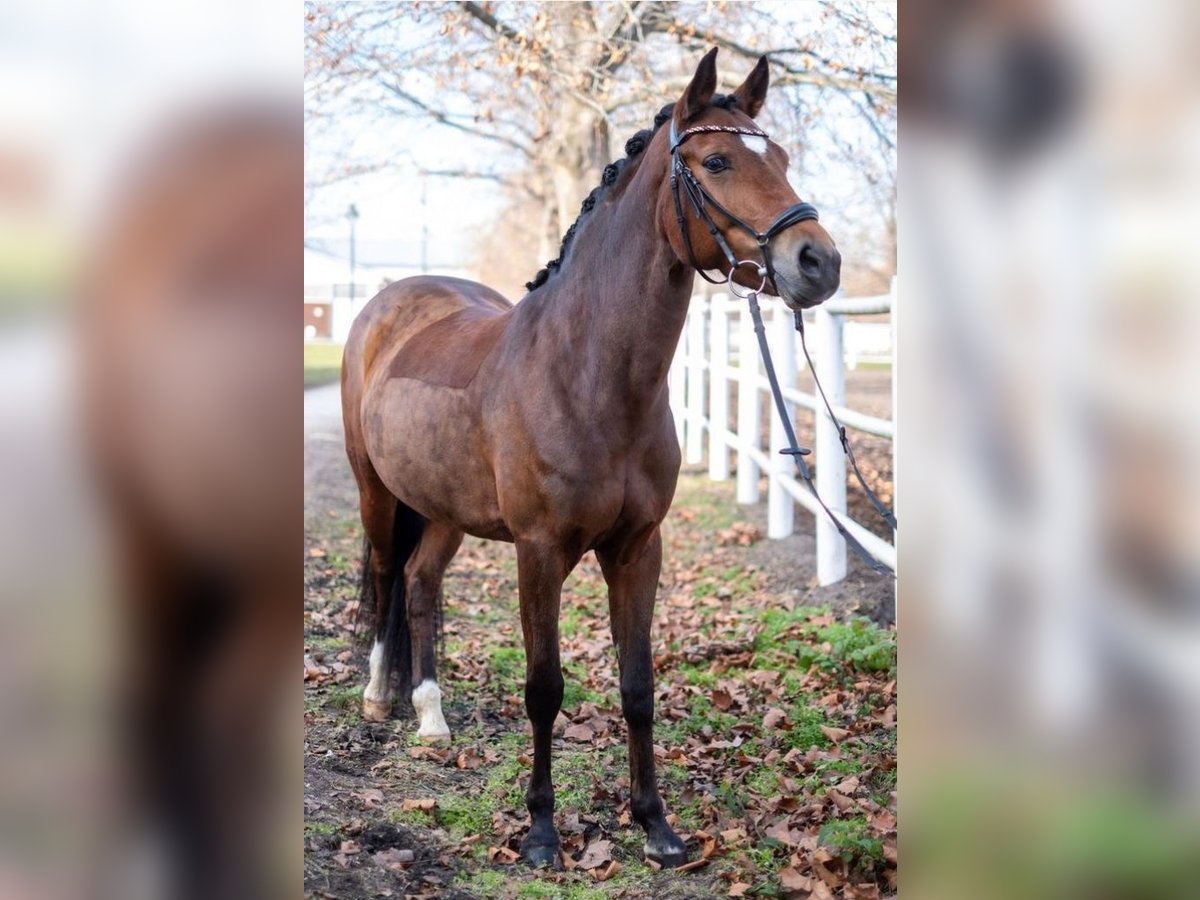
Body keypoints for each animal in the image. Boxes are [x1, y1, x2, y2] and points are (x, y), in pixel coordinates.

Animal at [343, 47, 840, 868]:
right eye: (717, 160)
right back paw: (380, 695)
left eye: (785, 161)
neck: (589, 374)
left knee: (419, 584)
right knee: (386, 575)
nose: (819, 262)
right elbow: (544, 687)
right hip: (378, 493)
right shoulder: (540, 551)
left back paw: (432, 717)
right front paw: (542, 833)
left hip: (443, 511)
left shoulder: (638, 548)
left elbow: (638, 684)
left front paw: (656, 825)